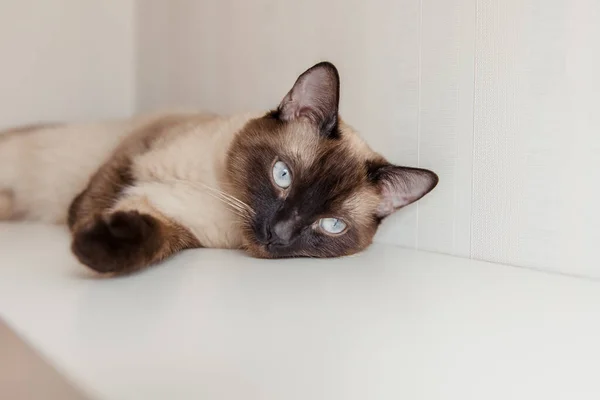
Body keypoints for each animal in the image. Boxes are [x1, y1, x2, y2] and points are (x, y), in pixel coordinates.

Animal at [1, 62, 440, 274]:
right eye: (282, 175)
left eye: (330, 225)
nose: (279, 234)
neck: (219, 193)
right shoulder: (137, 146)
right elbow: (91, 203)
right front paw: (83, 228)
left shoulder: (177, 225)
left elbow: (149, 239)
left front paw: (96, 246)